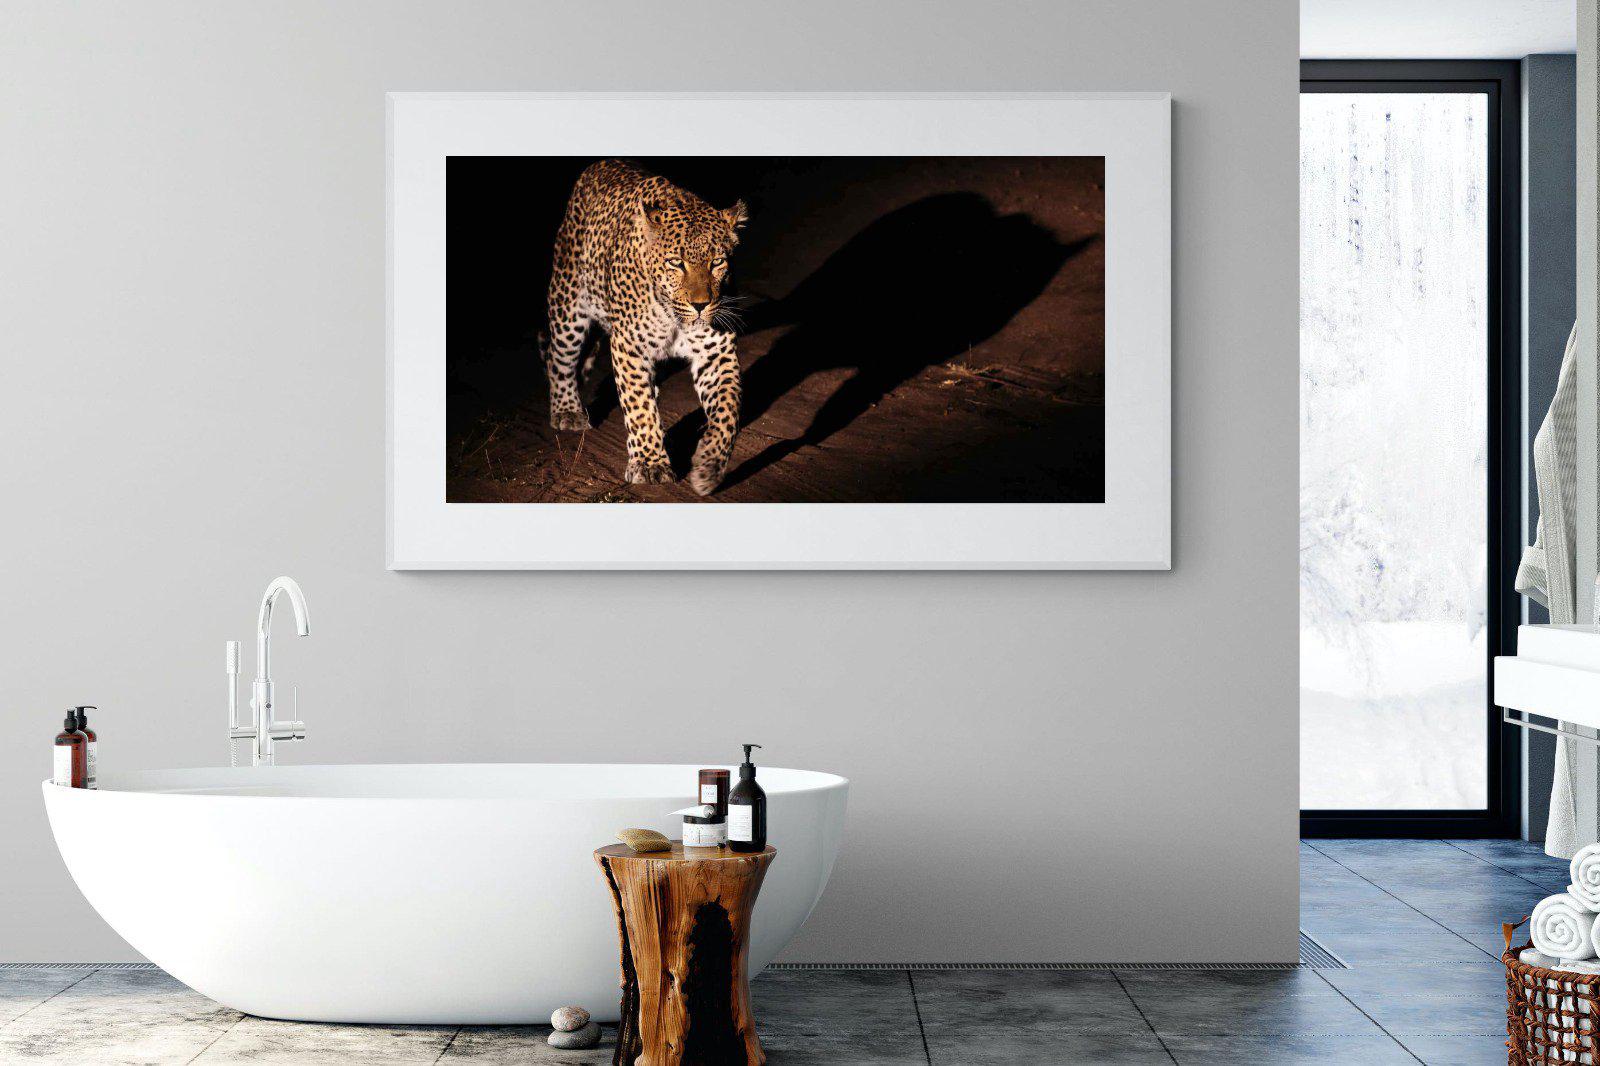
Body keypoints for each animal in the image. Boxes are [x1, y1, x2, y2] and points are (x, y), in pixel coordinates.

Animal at [541, 159, 747, 496]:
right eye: (676, 263)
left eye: (717, 262)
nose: (701, 305)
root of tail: (600, 164)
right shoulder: (629, 347)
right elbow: (638, 406)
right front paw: (650, 465)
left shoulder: (716, 352)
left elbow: (728, 410)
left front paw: (709, 466)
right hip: (568, 305)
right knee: (558, 359)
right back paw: (567, 411)